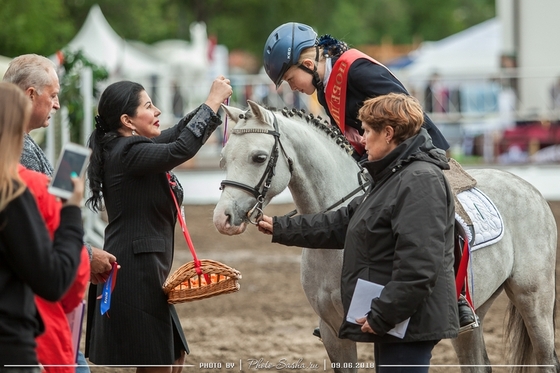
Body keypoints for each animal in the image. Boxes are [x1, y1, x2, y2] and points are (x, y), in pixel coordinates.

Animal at [212, 101, 556, 372]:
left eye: (258, 157)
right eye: (223, 157)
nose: (222, 219)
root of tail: (526, 186)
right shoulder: (332, 332)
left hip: (534, 298)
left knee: (546, 357)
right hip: (474, 316)